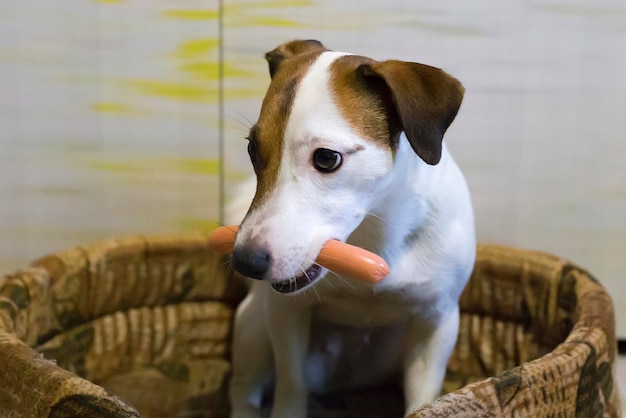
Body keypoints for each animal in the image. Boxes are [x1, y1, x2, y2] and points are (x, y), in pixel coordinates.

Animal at [227, 40, 476, 418]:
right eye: (252, 149)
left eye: (327, 158)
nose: (245, 261)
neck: (374, 235)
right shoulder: (286, 314)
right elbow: (291, 384)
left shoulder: (437, 323)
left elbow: (424, 401)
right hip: (255, 330)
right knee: (244, 390)